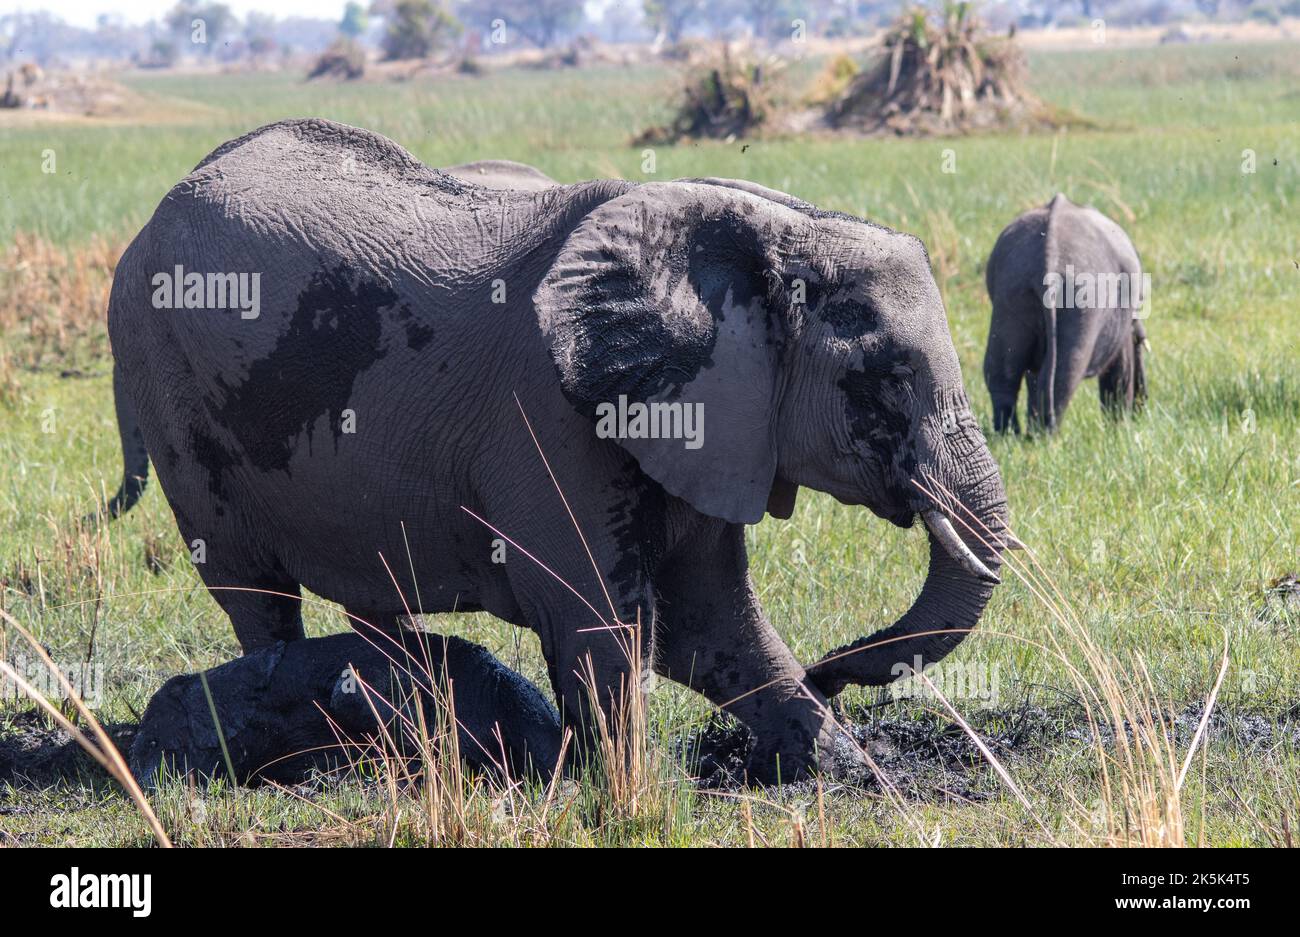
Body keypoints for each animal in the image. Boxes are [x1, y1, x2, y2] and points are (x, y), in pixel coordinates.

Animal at [102, 118, 1012, 782]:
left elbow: (710, 624)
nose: (836, 666)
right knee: (253, 590)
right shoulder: (550, 412)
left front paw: (854, 772)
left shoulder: (706, 422)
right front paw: (626, 788)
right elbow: (599, 616)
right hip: (170, 387)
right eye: (885, 378)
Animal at [983, 194, 1147, 433]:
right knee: (1065, 372)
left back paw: (1011, 434)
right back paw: (1045, 435)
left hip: (1012, 291)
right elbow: (1119, 371)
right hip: (1082, 300)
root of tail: (1049, 256)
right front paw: (1119, 429)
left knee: (1002, 371)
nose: (1142, 410)